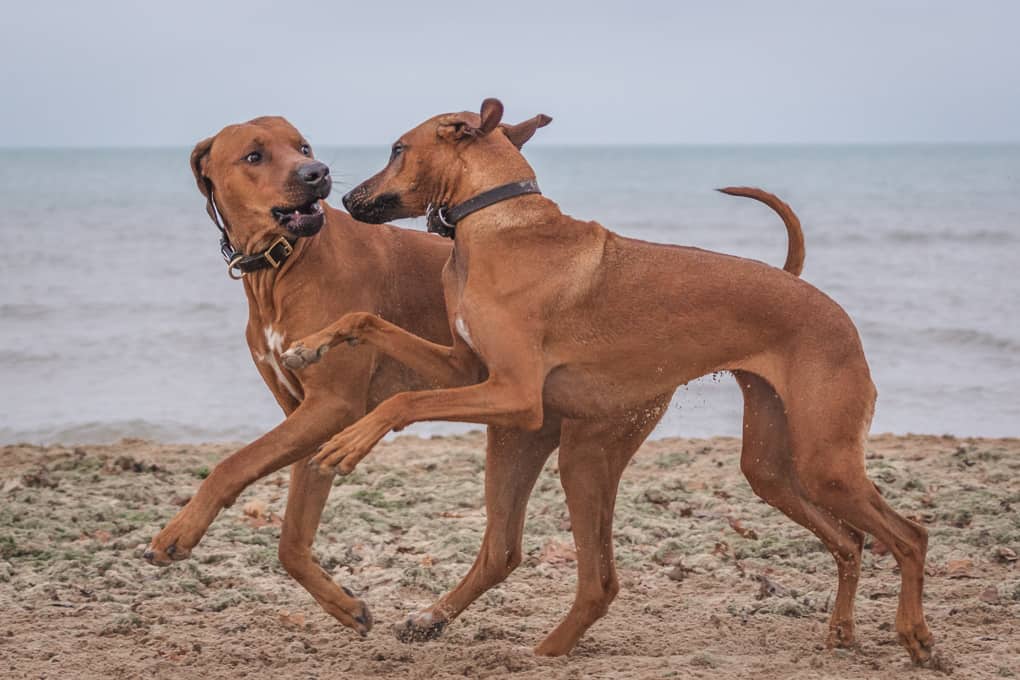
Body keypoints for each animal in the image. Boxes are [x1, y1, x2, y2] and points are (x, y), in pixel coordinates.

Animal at [285, 100, 934, 664]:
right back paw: (842, 630)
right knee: (848, 541)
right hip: (765, 465)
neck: (493, 222)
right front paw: (308, 344)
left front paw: (348, 443)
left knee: (909, 536)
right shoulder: (467, 370)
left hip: (815, 459)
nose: (344, 196)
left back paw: (916, 636)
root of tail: (819, 300)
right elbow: (366, 321)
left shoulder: (512, 395)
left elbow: (403, 398)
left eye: (398, 149)